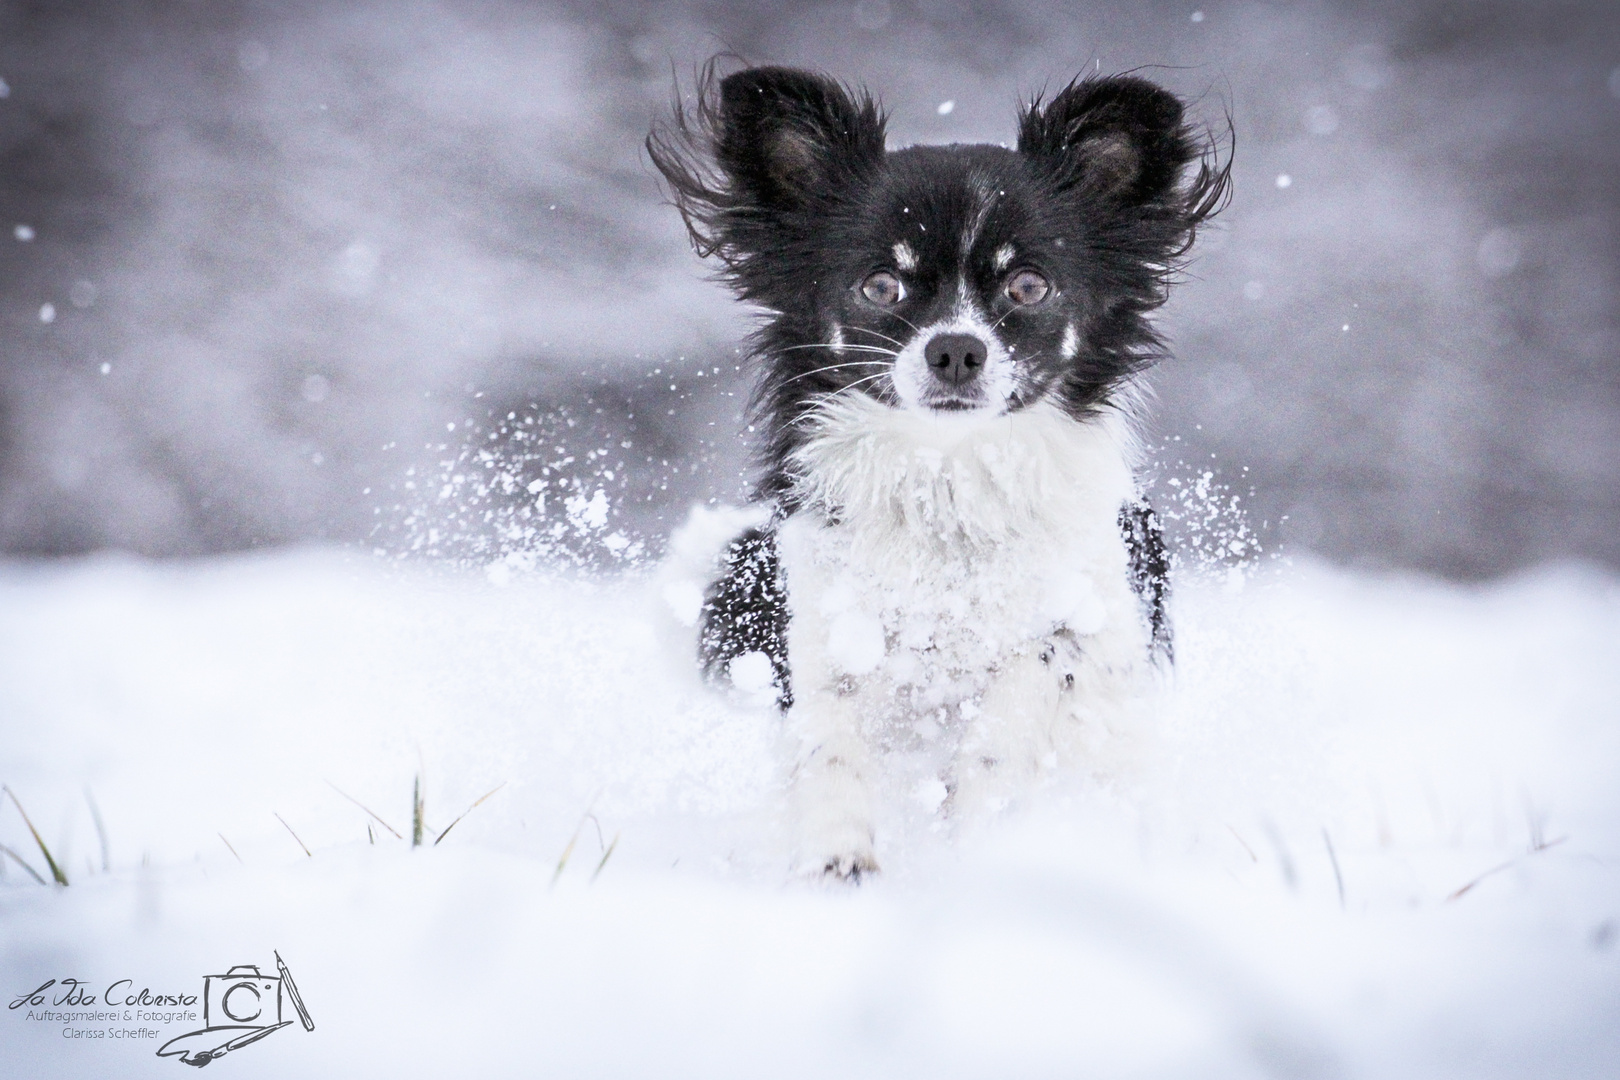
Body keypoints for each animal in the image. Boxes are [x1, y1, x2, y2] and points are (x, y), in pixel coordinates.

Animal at [644, 63, 1224, 880]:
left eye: (1028, 287)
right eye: (881, 286)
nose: (956, 348)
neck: (949, 476)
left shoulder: (1077, 625)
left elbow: (1014, 710)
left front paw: (974, 837)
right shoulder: (823, 621)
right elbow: (830, 738)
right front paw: (838, 854)